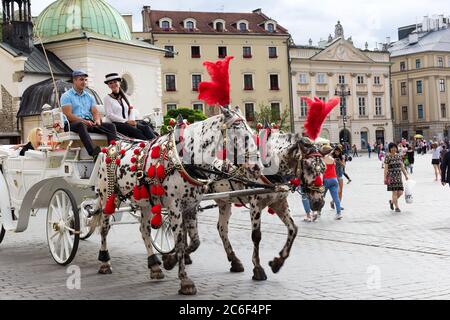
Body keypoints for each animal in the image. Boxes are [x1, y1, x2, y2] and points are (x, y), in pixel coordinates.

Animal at [92, 107, 260, 296]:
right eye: (238, 129)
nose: (256, 166)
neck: (184, 158)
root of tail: (110, 146)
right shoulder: (174, 207)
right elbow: (179, 242)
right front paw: (185, 281)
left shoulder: (191, 206)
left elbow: (195, 242)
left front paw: (169, 261)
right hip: (107, 197)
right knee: (104, 228)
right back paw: (105, 262)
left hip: (145, 203)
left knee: (144, 230)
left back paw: (154, 266)